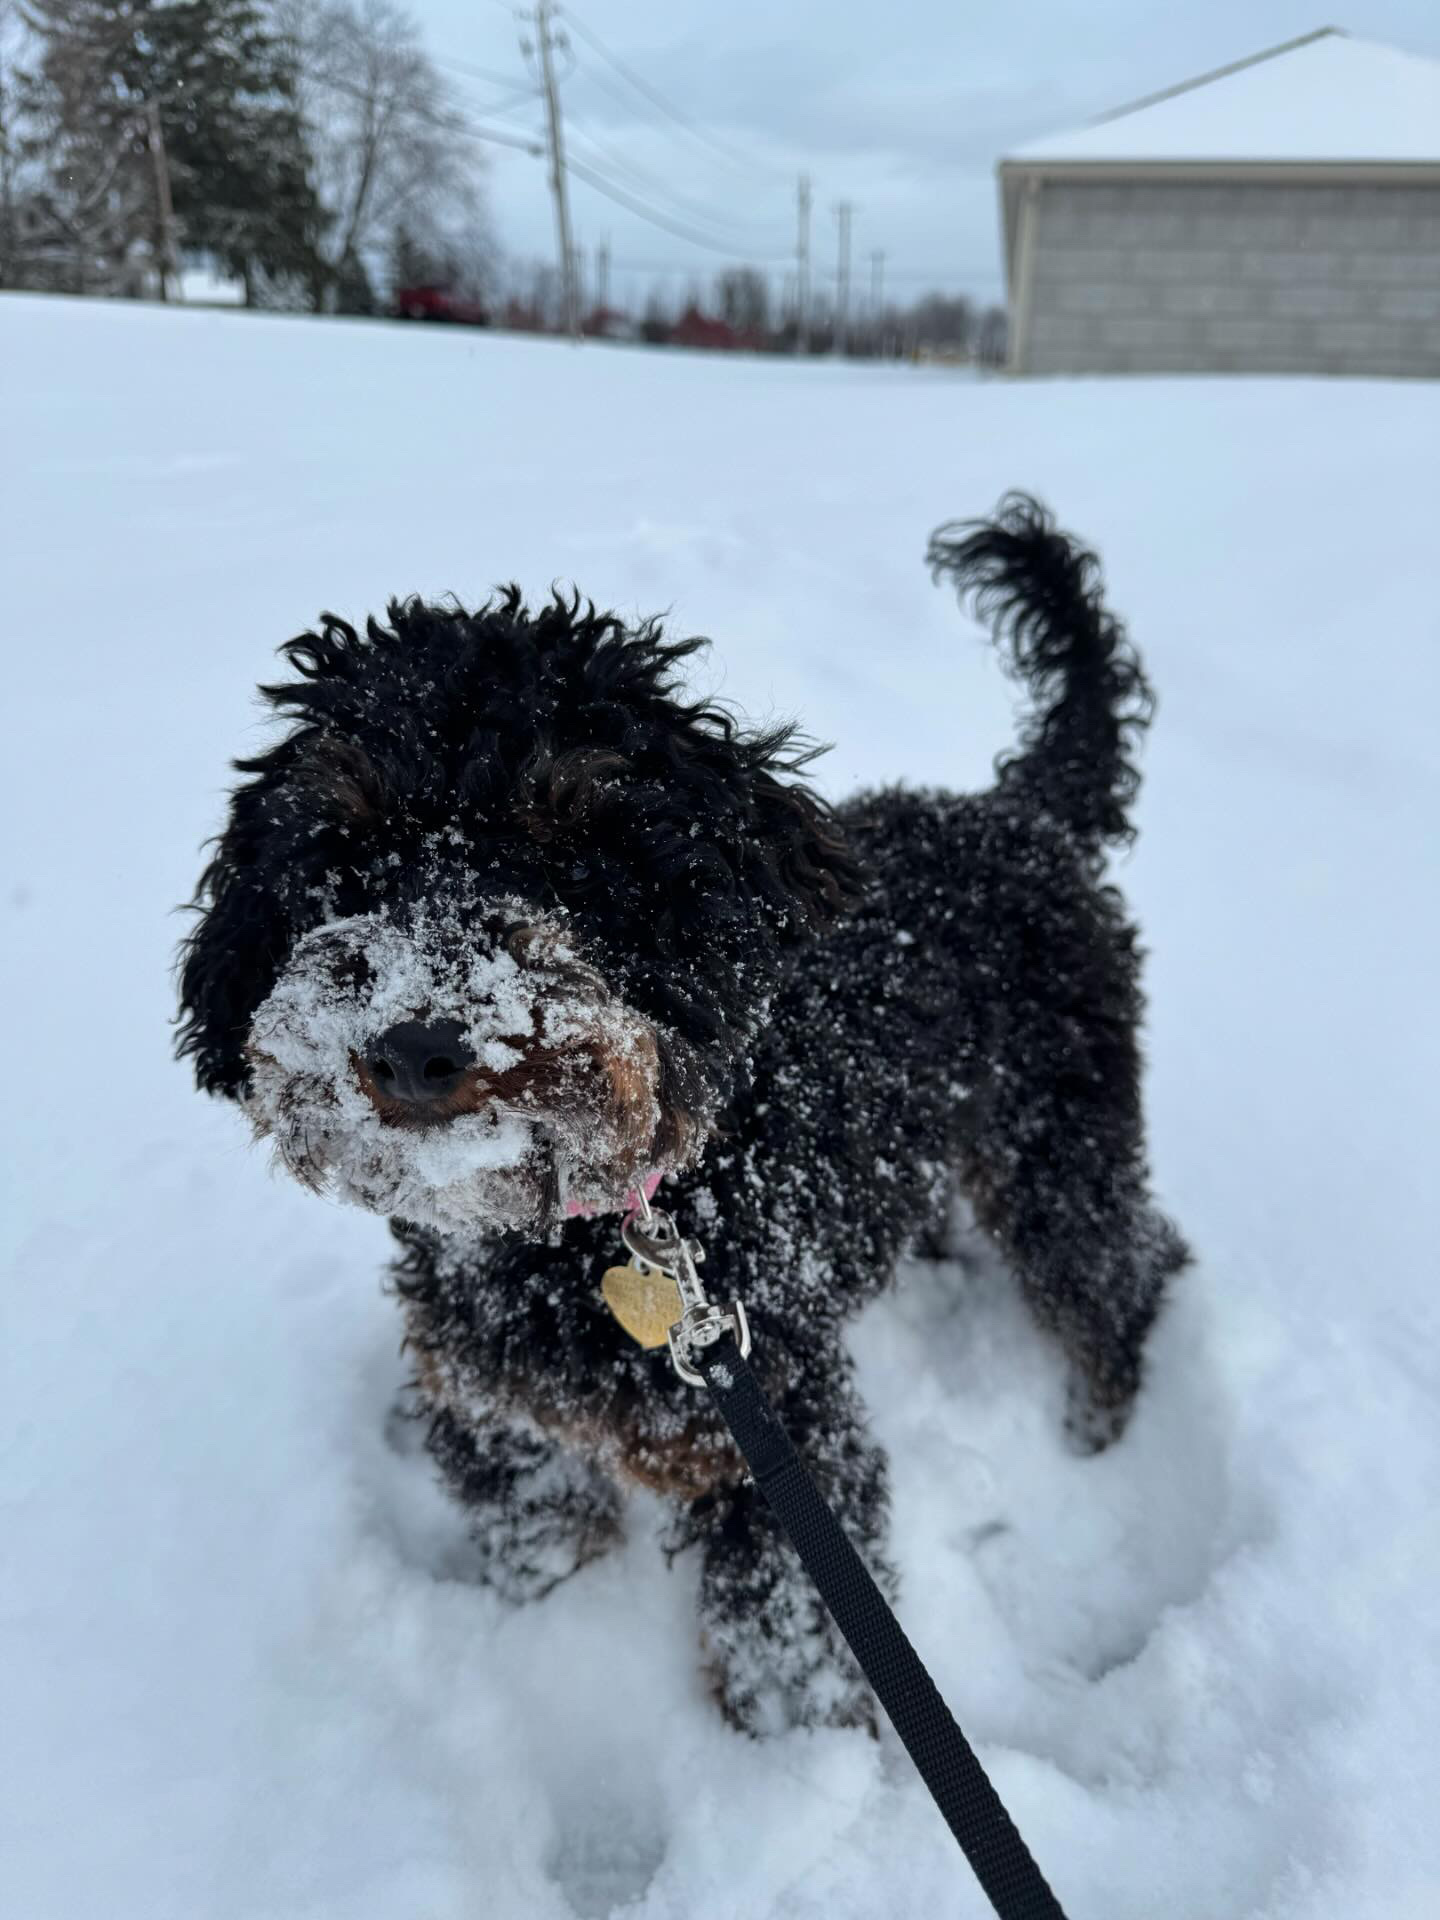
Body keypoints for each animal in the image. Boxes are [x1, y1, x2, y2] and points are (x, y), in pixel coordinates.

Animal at [180, 499, 1190, 1743]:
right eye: (341, 854)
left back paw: (1101, 1434)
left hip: (1058, 1138)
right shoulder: (497, 1412)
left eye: (574, 856)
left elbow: (789, 1642)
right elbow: (546, 1540)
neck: (584, 1235)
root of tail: (1017, 812)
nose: (417, 1047)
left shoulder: (777, 1429)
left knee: (1118, 1271)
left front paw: (799, 1770)